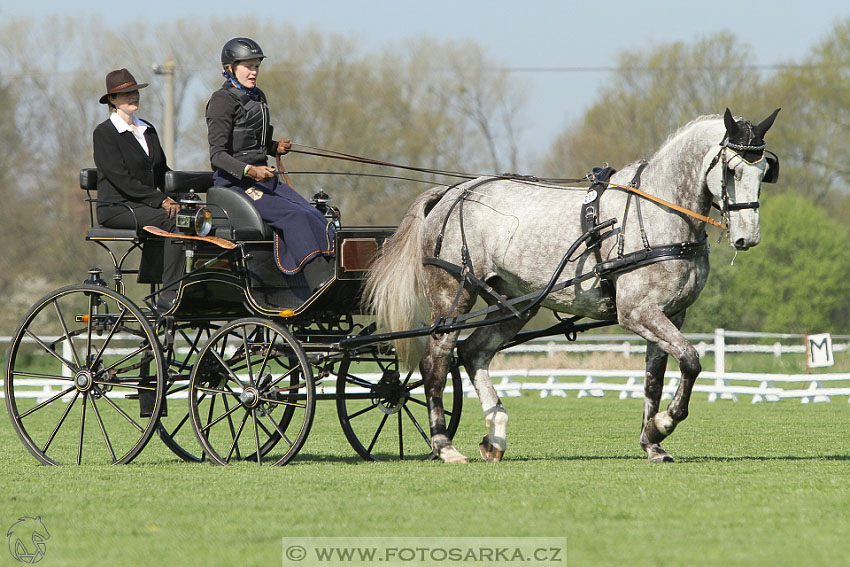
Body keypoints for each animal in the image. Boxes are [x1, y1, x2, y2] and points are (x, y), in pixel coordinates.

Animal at [368, 108, 780, 464]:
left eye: (763, 170)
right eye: (731, 169)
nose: (748, 237)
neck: (658, 214)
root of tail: (453, 193)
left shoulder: (670, 315)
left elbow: (655, 379)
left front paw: (652, 441)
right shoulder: (638, 312)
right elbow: (692, 361)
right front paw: (663, 423)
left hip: (515, 303)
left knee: (472, 352)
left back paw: (495, 435)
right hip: (453, 295)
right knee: (436, 360)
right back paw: (444, 444)